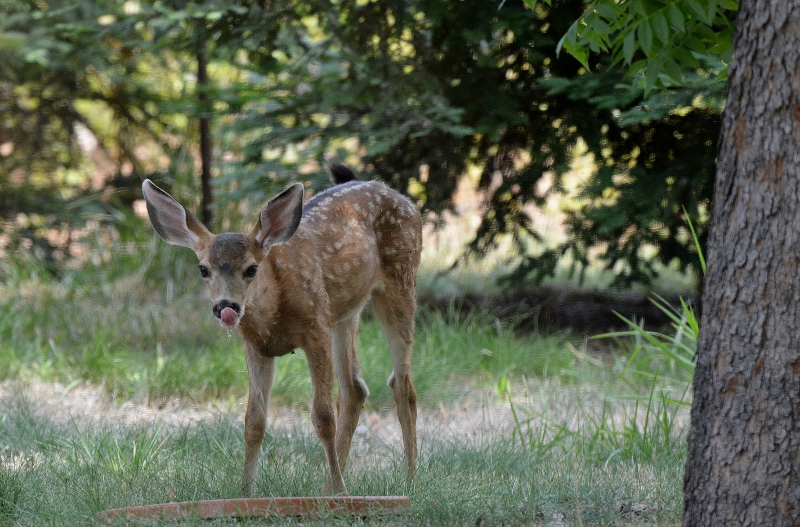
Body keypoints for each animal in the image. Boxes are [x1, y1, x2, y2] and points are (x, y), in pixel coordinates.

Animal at [141, 166, 422, 500]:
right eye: (203, 269)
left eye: (251, 269)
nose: (226, 307)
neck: (273, 313)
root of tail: (401, 196)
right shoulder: (255, 347)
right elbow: (254, 422)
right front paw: (245, 494)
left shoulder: (316, 326)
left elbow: (322, 417)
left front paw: (342, 493)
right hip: (345, 313)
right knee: (355, 389)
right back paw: (328, 488)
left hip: (401, 280)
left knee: (403, 386)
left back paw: (407, 481)